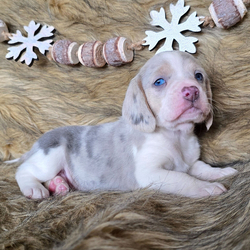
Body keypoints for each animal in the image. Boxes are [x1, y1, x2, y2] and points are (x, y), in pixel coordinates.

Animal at [13, 50, 236, 199]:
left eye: (198, 76)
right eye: (159, 82)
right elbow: (184, 179)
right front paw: (206, 188)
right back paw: (34, 188)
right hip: (49, 158)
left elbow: (203, 167)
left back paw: (58, 184)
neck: (176, 136)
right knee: (23, 170)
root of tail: (38, 143)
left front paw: (221, 172)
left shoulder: (190, 163)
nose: (191, 91)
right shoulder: (151, 173)